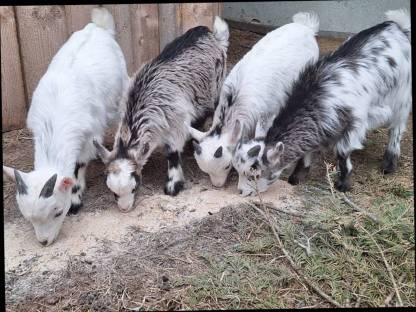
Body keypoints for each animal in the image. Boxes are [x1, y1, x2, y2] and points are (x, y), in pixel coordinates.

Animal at [2, 7, 128, 245]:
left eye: (58, 212)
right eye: (27, 217)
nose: (44, 242)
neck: (55, 118)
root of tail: (97, 27)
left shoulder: (89, 134)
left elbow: (79, 164)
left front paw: (77, 200)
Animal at [94, 17, 229, 212]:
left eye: (135, 186)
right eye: (113, 192)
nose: (125, 209)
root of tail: (213, 35)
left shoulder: (176, 124)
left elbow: (172, 154)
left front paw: (173, 186)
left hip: (215, 88)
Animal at [189, 11, 322, 188]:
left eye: (227, 166)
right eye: (205, 170)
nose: (218, 186)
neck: (234, 102)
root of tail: (306, 26)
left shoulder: (266, 116)